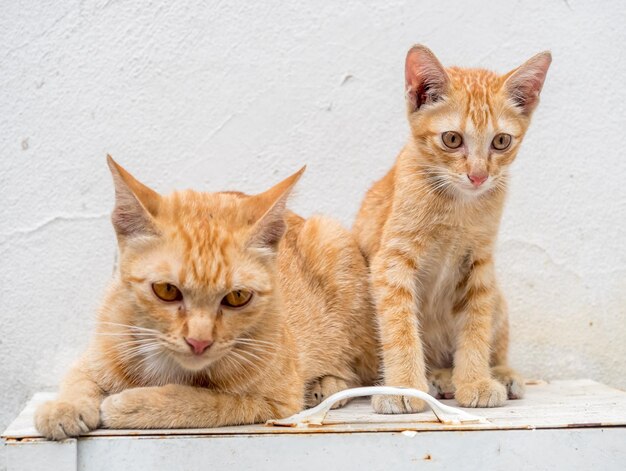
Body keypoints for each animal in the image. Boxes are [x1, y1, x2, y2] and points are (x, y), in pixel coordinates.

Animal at [36, 157, 378, 440]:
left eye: (237, 297)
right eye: (166, 290)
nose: (199, 341)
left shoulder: (276, 401)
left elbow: (205, 402)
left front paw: (135, 404)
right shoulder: (97, 351)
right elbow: (78, 377)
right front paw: (63, 406)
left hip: (332, 243)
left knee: (354, 369)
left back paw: (327, 385)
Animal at [354, 45, 548, 412]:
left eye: (501, 141)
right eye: (452, 139)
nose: (478, 175)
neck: (459, 205)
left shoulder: (480, 264)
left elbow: (476, 325)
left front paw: (474, 381)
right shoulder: (392, 262)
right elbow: (400, 327)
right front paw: (403, 387)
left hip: (498, 296)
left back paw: (492, 373)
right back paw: (434, 378)